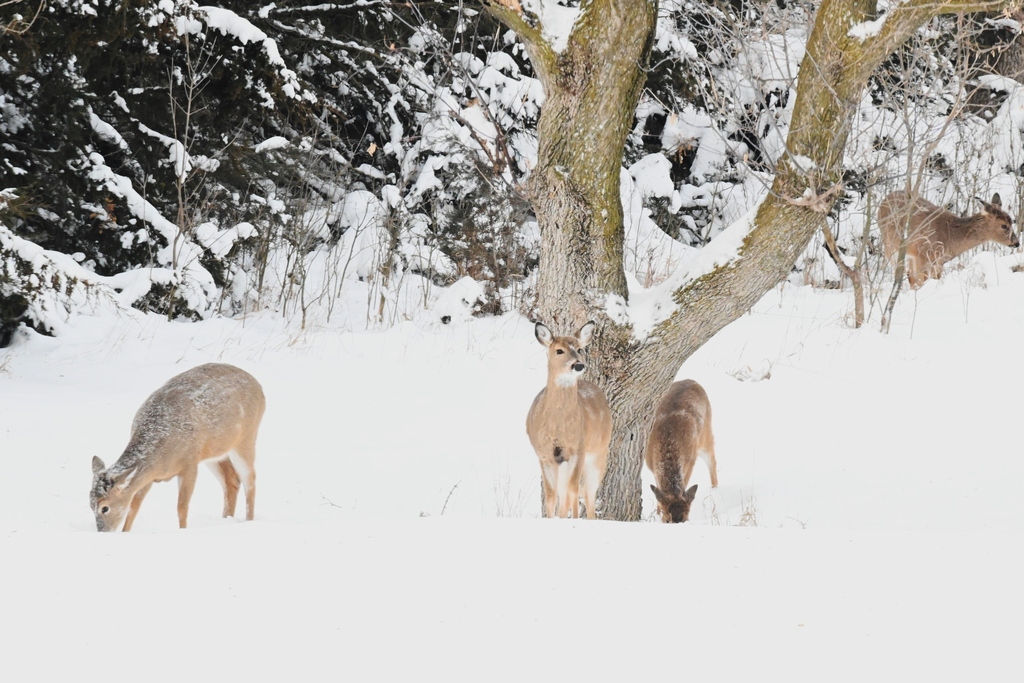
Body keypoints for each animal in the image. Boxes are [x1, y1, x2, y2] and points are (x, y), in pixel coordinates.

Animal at [88, 362, 266, 532]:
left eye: (105, 508)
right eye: (90, 505)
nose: (102, 532)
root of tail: (258, 385)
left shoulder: (190, 464)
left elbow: (181, 507)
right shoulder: (149, 475)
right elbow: (134, 506)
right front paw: (125, 532)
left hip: (247, 437)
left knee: (249, 479)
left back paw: (249, 520)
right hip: (214, 452)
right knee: (231, 480)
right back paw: (225, 519)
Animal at [528, 321, 606, 518]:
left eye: (579, 349)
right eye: (559, 350)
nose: (578, 365)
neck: (558, 426)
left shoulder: (578, 449)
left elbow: (572, 491)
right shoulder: (544, 454)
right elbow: (551, 496)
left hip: (599, 452)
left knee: (587, 494)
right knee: (567, 495)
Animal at [643, 378, 716, 524]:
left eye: (685, 519)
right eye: (667, 520)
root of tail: (692, 380)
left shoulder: (690, 462)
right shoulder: (651, 465)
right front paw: (657, 513)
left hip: (705, 434)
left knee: (712, 459)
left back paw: (715, 489)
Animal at [880, 191, 1015, 290]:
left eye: (1011, 221)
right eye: (1004, 226)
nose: (1016, 243)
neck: (950, 236)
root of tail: (884, 199)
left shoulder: (937, 261)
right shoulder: (921, 256)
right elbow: (921, 280)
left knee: (909, 275)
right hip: (890, 246)